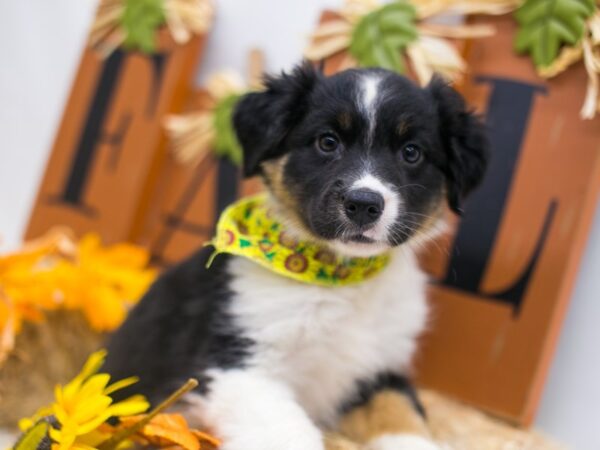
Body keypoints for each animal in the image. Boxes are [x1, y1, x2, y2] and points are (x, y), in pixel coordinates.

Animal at [103, 63, 488, 450]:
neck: (340, 281)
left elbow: (403, 413)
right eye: (327, 142)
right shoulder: (237, 366)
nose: (364, 204)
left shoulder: (379, 368)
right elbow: (292, 433)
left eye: (411, 152)